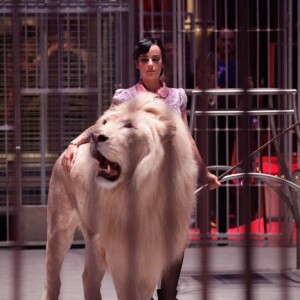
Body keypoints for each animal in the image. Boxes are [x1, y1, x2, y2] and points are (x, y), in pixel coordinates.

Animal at [41, 92, 197, 298]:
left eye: (129, 126)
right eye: (105, 122)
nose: (95, 136)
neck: (143, 192)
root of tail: (64, 155)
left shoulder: (152, 256)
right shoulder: (120, 255)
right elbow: (129, 293)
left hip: (95, 239)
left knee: (88, 277)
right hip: (59, 230)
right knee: (52, 277)